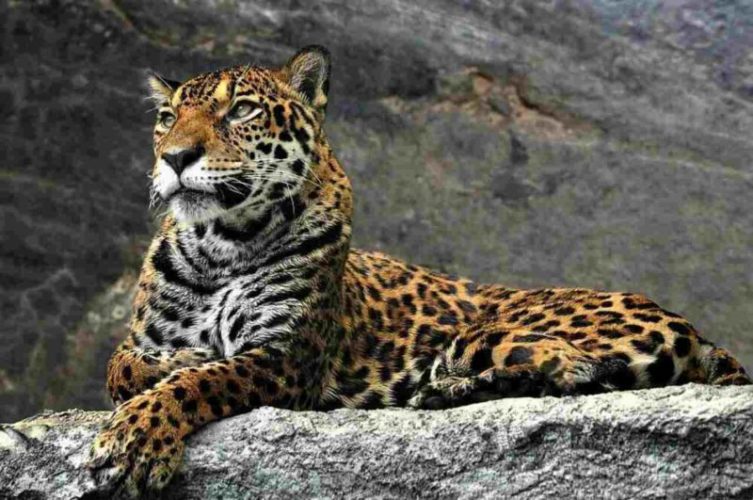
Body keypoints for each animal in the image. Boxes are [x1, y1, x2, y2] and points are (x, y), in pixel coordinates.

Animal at [88, 45, 750, 497]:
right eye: (166, 118)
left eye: (243, 110)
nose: (175, 157)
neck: (218, 245)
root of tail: (692, 327)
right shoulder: (145, 335)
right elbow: (121, 365)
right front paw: (165, 367)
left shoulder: (285, 358)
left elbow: (199, 381)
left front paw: (136, 438)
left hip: (485, 333)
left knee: (570, 371)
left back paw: (445, 392)